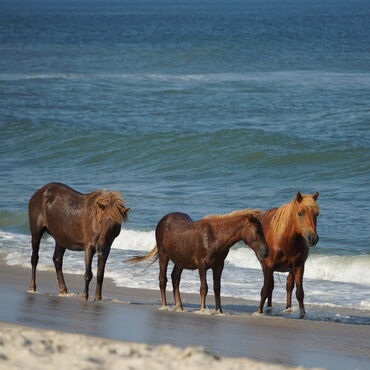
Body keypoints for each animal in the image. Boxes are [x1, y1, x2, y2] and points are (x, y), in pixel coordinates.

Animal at [129, 211, 268, 312]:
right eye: (257, 230)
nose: (266, 252)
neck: (215, 238)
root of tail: (163, 220)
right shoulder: (202, 265)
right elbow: (204, 288)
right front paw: (202, 309)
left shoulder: (219, 266)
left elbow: (217, 288)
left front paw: (219, 311)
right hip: (164, 256)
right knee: (163, 280)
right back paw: (165, 306)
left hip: (180, 260)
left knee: (175, 278)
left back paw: (179, 307)